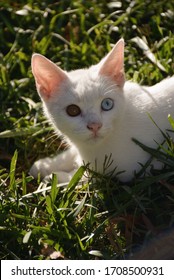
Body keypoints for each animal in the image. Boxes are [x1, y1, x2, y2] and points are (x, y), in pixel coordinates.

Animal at [29, 38, 174, 182]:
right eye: (73, 110)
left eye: (107, 104)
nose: (95, 126)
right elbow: (71, 155)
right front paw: (45, 165)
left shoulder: (139, 169)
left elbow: (85, 178)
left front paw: (55, 177)